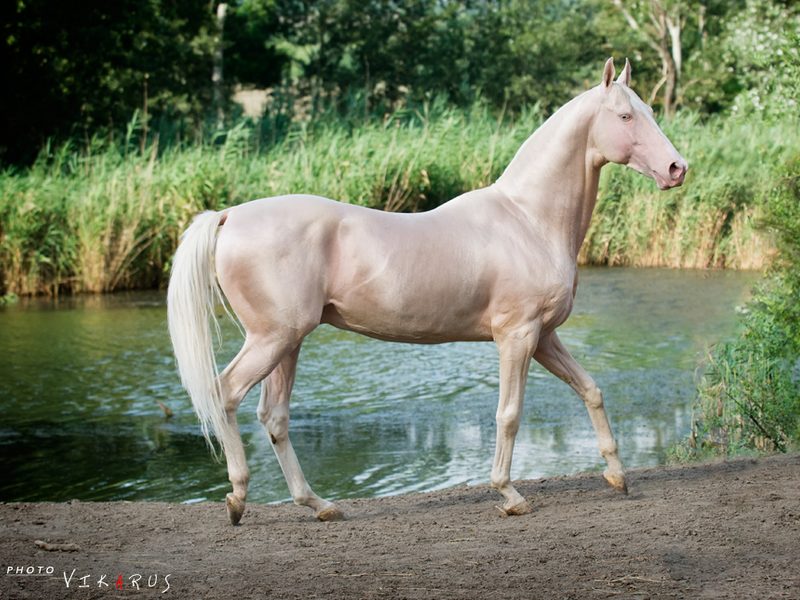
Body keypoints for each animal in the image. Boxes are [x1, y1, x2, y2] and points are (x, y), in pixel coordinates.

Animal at [169, 58, 688, 524]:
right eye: (626, 116)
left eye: (648, 111)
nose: (676, 168)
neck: (527, 219)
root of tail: (229, 215)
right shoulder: (517, 337)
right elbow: (509, 413)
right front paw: (509, 495)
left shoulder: (544, 337)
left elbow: (591, 390)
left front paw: (618, 476)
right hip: (272, 339)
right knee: (225, 394)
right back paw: (238, 498)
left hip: (288, 343)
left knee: (274, 417)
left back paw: (319, 505)